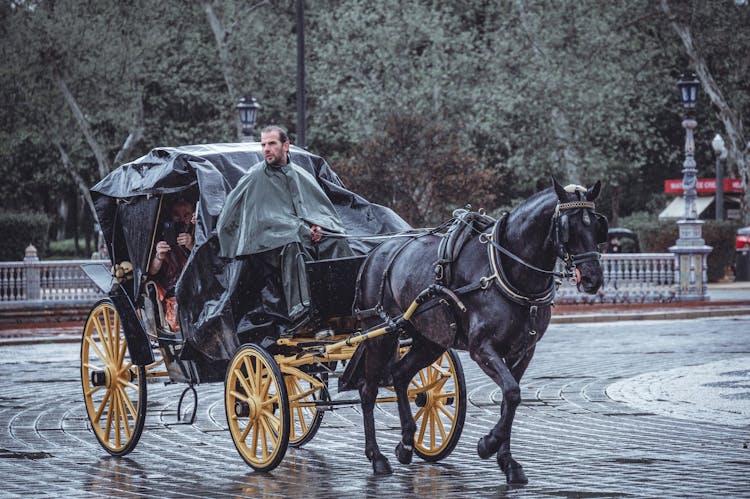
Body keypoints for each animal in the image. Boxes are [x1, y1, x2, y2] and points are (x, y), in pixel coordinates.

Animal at [354, 180, 612, 484]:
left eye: (597, 226)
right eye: (568, 226)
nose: (593, 279)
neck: (505, 270)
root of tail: (376, 252)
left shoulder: (523, 351)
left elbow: (509, 400)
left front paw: (508, 461)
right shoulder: (482, 348)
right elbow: (512, 392)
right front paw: (488, 445)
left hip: (429, 339)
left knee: (400, 375)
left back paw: (406, 443)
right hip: (380, 334)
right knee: (368, 389)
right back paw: (376, 457)